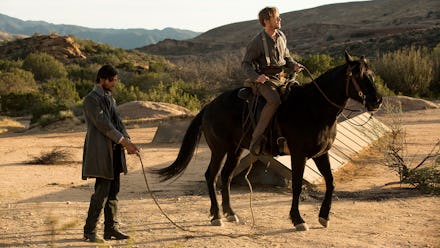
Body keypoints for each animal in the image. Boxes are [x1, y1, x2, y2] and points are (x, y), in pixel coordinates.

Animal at [153, 51, 384, 232]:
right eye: (358, 76)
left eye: (371, 75)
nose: (377, 101)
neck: (314, 108)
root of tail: (209, 106)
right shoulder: (299, 154)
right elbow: (297, 185)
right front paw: (298, 220)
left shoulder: (321, 154)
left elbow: (330, 182)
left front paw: (323, 217)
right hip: (219, 149)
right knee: (212, 176)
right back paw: (217, 215)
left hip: (236, 150)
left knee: (226, 176)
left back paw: (230, 213)